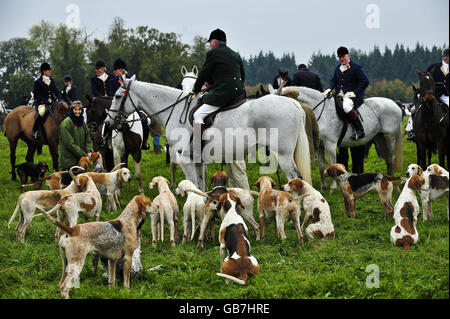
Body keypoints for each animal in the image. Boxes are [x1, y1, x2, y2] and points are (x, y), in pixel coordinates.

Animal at [105, 76, 312, 191]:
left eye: (117, 96)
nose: (108, 123)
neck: (175, 109)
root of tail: (294, 104)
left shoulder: (185, 160)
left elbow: (194, 186)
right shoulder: (198, 161)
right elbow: (201, 187)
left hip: (283, 155)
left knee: (295, 178)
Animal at [274, 85, 404, 190]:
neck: (322, 112)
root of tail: (394, 104)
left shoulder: (330, 144)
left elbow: (332, 164)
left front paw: (333, 187)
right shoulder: (319, 146)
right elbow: (321, 166)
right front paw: (324, 187)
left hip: (390, 137)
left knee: (392, 157)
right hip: (379, 137)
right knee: (388, 158)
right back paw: (386, 179)